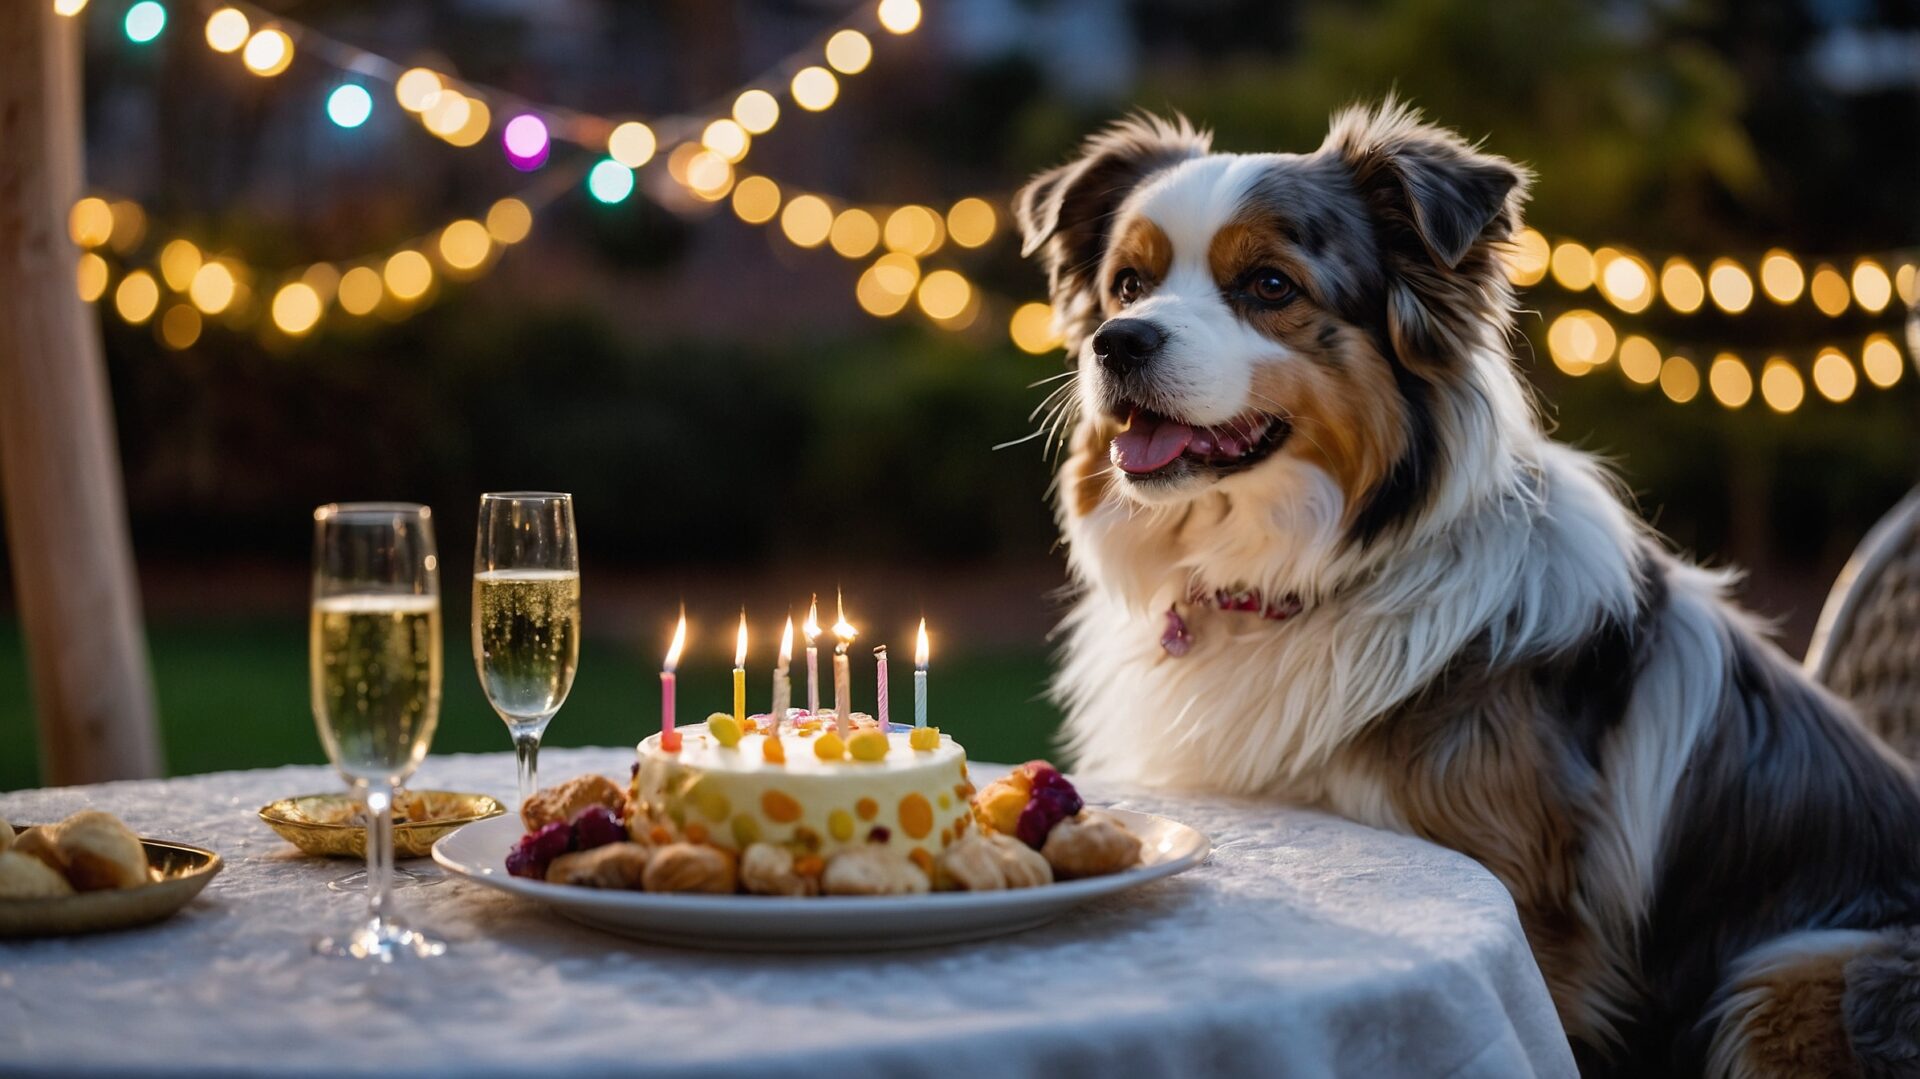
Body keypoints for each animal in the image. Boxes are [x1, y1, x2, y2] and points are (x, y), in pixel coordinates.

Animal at [1021, 98, 1920, 1067]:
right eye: (1126, 284)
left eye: (1268, 285)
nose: (1117, 343)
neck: (1290, 578)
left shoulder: (1532, 911)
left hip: (1796, 969)